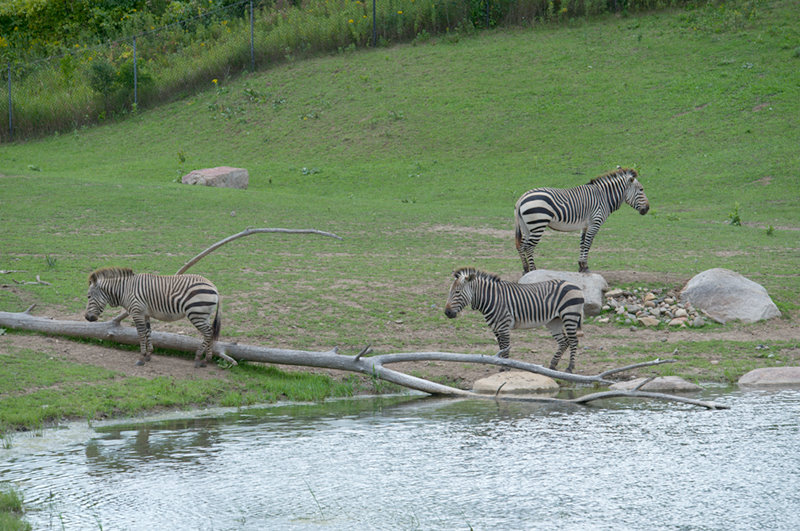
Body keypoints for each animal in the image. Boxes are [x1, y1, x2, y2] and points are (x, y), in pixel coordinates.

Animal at [84, 268, 220, 368]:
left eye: (89, 296)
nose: (87, 317)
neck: (125, 290)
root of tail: (214, 286)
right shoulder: (145, 314)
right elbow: (148, 332)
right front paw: (148, 355)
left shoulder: (137, 312)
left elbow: (140, 334)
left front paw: (141, 357)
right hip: (204, 315)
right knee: (210, 332)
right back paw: (206, 360)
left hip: (196, 314)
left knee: (208, 333)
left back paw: (198, 358)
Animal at [440, 266, 584, 374]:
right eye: (450, 292)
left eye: (457, 292)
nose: (447, 313)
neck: (492, 298)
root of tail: (574, 285)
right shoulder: (496, 328)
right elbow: (501, 348)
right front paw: (502, 366)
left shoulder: (503, 327)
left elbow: (505, 347)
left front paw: (506, 368)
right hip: (554, 321)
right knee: (563, 341)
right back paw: (553, 365)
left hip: (569, 316)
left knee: (573, 341)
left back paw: (570, 368)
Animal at [512, 167, 648, 274]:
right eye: (641, 190)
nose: (647, 209)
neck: (604, 197)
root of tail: (521, 198)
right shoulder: (595, 222)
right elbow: (588, 244)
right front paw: (585, 267)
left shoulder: (585, 225)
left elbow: (582, 244)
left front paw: (581, 266)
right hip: (538, 224)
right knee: (529, 247)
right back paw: (533, 270)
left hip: (526, 227)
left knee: (521, 246)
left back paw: (525, 270)